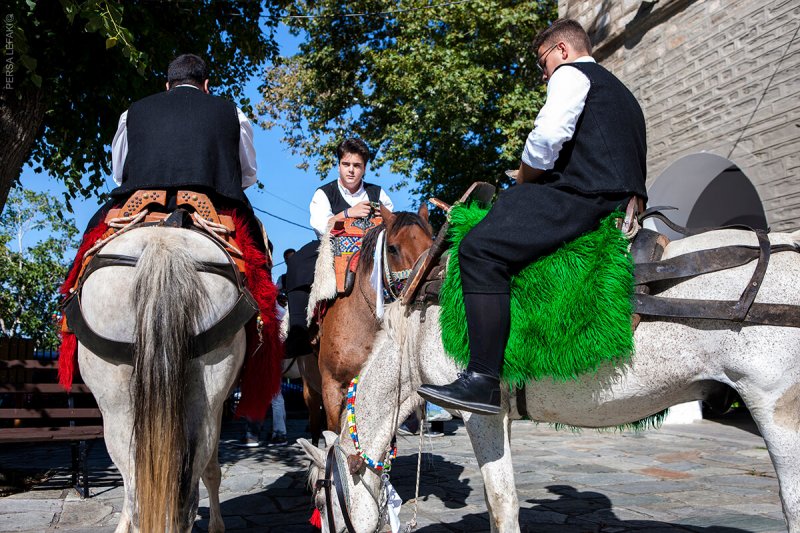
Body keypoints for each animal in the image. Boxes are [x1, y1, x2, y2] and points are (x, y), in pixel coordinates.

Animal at [302, 228, 800, 532]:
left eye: (323, 502)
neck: (418, 325)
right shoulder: (500, 416)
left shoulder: (477, 413)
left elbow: (503, 502)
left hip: (777, 409)